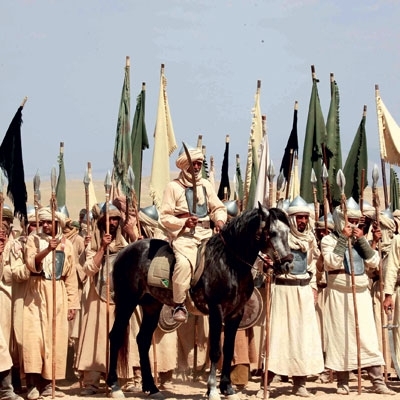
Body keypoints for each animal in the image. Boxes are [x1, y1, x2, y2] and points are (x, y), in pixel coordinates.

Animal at [107, 203, 293, 400]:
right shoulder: (216, 310)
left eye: (288, 231)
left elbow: (228, 350)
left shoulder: (236, 313)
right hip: (126, 302)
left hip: (152, 306)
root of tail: (123, 252)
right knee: (116, 336)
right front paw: (212, 389)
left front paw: (227, 388)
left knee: (143, 339)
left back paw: (152, 388)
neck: (229, 263)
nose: (288, 264)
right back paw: (115, 386)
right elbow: (216, 350)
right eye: (272, 232)